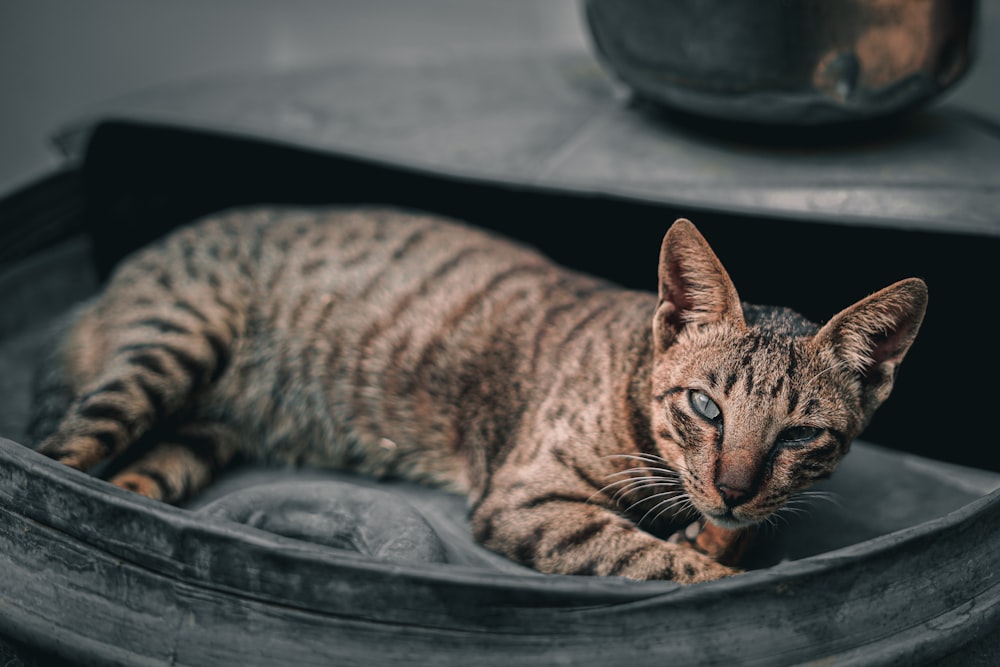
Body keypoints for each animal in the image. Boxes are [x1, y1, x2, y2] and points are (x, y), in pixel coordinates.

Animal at [27, 207, 924, 584]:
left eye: (799, 436)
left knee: (127, 479)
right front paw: (707, 558)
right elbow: (671, 566)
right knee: (53, 462)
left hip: (196, 436)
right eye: (705, 406)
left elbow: (726, 541)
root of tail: (119, 274)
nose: (734, 489)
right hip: (171, 344)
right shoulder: (528, 497)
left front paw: (721, 535)